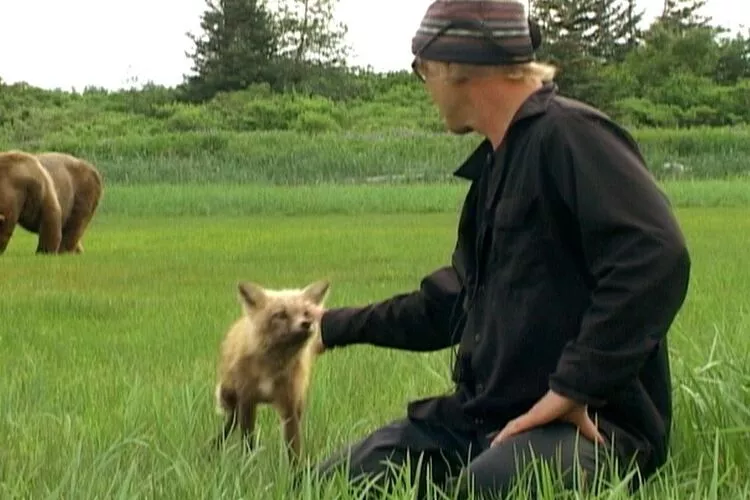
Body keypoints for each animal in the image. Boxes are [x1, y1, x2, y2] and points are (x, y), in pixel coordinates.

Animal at [213, 279, 330, 464]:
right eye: (281, 314)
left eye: (306, 313)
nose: (306, 324)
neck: (272, 368)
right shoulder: (247, 400)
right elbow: (248, 443)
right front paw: (248, 466)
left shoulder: (290, 405)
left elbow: (294, 450)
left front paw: (298, 471)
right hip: (230, 398)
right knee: (230, 424)